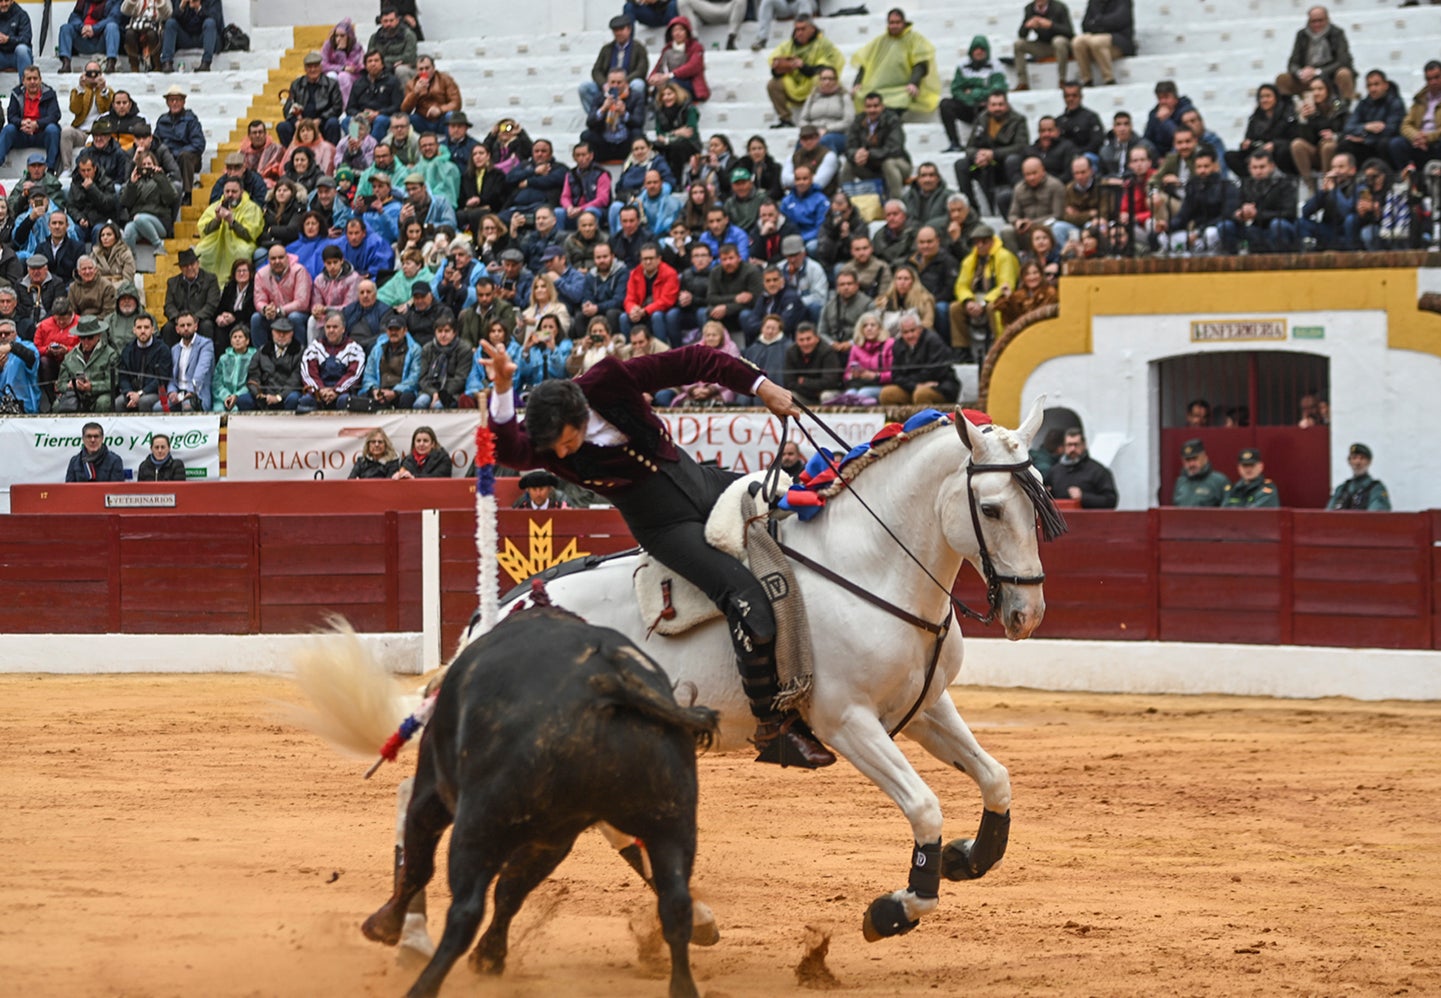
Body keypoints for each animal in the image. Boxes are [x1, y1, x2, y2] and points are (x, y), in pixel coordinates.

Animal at [304, 403, 1066, 950]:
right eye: (991, 508)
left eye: (1040, 501)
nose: (1026, 613)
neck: (869, 563)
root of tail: (497, 613)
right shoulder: (846, 721)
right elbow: (925, 805)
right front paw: (895, 909)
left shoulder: (926, 705)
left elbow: (996, 777)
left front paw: (970, 857)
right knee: (422, 794)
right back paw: (406, 925)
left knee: (603, 824)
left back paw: (691, 917)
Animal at [363, 601, 717, 990]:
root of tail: (608, 680)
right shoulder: (554, 836)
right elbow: (512, 888)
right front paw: (489, 958)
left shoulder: (432, 793)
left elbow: (419, 866)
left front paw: (384, 925)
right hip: (671, 821)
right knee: (676, 906)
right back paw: (683, 984)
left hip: (479, 824)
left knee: (465, 911)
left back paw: (424, 984)